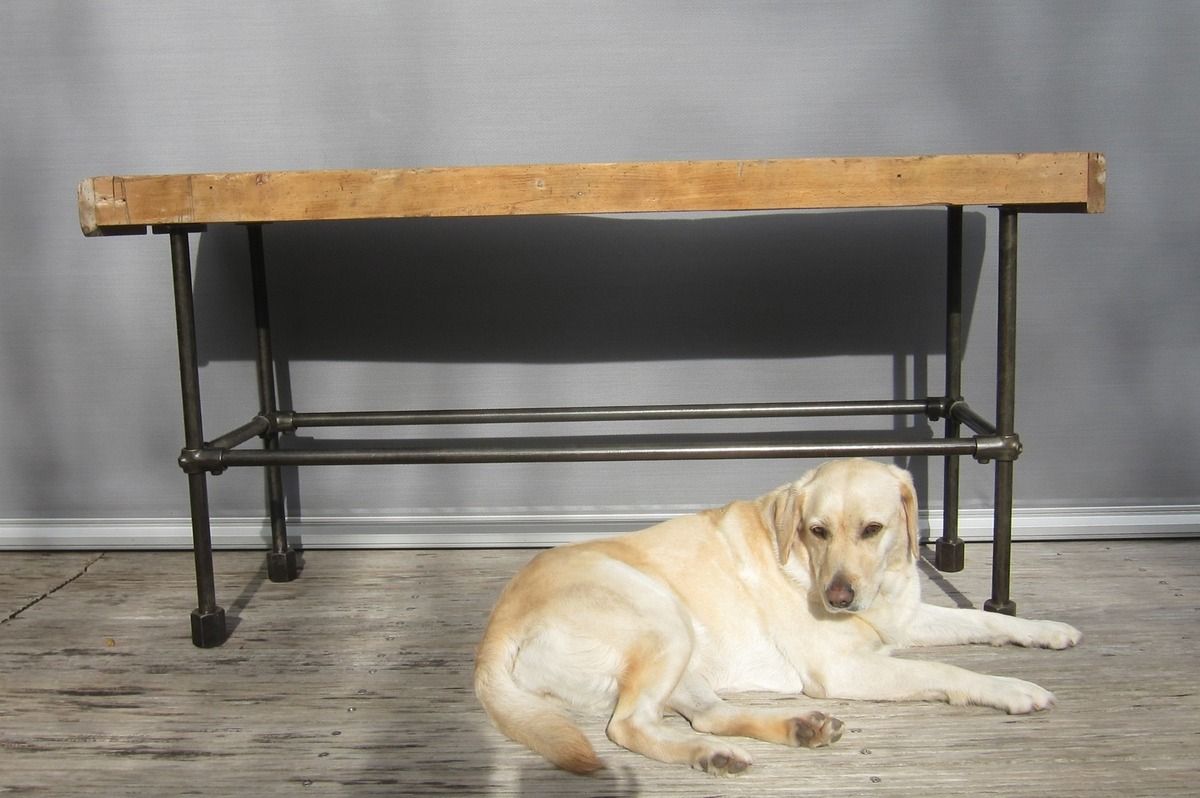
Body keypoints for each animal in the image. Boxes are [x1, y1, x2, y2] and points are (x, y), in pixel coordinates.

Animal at [472, 458, 1084, 772]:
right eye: (818, 530)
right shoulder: (844, 669)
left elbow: (989, 621)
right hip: (661, 618)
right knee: (628, 726)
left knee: (708, 715)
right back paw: (712, 755)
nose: (838, 598)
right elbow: (946, 671)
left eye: (873, 529)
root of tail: (494, 631)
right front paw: (1012, 689)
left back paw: (790, 731)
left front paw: (1046, 630)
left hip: (683, 651)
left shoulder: (905, 617)